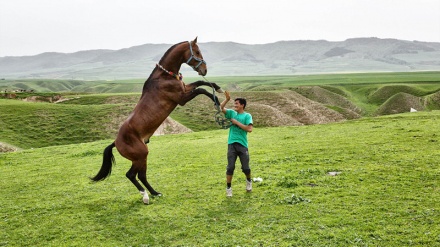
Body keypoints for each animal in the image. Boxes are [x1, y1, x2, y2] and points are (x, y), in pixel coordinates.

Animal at [92, 37, 223, 204]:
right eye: (197, 51)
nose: (204, 69)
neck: (164, 77)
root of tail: (116, 142)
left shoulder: (185, 89)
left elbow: (201, 82)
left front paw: (217, 88)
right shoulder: (182, 98)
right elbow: (201, 89)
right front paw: (217, 101)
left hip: (142, 158)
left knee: (141, 175)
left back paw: (155, 193)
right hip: (141, 156)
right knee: (131, 175)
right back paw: (145, 196)